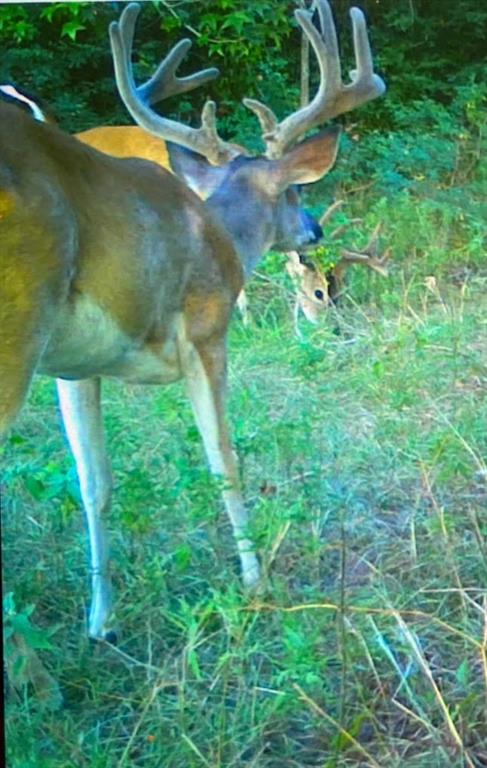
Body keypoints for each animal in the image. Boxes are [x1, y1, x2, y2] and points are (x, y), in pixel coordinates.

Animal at [0, 1, 386, 640]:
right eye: (292, 192)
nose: (314, 229)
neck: (223, 232)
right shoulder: (207, 331)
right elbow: (223, 458)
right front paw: (256, 582)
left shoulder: (74, 366)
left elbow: (94, 483)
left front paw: (101, 619)